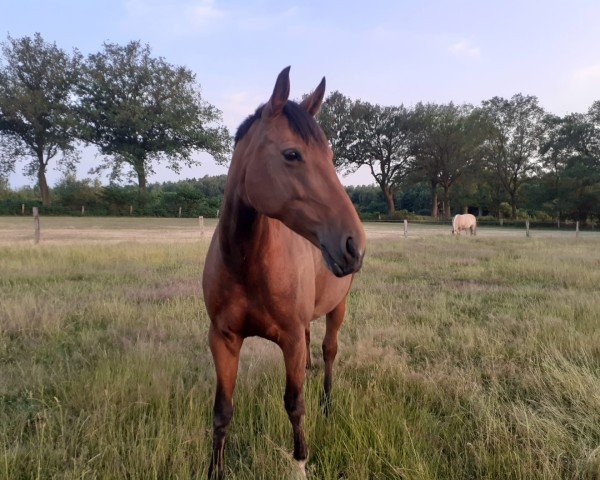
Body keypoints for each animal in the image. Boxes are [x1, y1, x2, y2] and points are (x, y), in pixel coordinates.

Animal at [203, 65, 366, 478]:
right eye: (292, 154)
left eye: (331, 155)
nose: (354, 245)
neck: (246, 264)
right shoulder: (223, 339)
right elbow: (222, 411)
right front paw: (215, 469)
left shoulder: (289, 340)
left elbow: (294, 404)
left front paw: (300, 461)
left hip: (339, 307)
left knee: (328, 351)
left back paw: (327, 403)